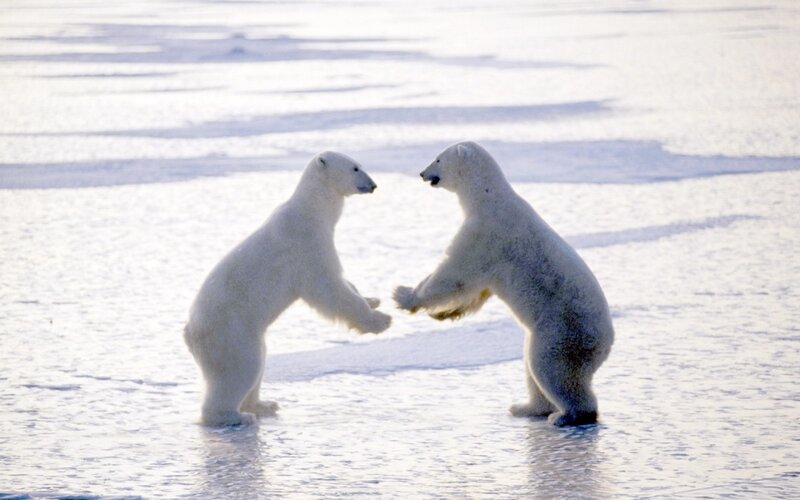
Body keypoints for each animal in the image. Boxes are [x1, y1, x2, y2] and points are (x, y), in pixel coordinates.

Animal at [184, 151, 392, 426]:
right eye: (355, 168)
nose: (373, 185)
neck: (310, 210)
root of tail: (189, 333)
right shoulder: (305, 244)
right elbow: (327, 287)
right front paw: (380, 320)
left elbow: (344, 284)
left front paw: (373, 299)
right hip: (230, 333)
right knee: (240, 369)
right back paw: (236, 416)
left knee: (259, 362)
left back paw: (264, 405)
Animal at [393, 141, 614, 426]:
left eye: (438, 158)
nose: (421, 173)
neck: (488, 196)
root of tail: (605, 344)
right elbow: (477, 289)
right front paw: (444, 314)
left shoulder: (485, 232)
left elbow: (455, 273)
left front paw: (404, 295)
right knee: (532, 368)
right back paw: (526, 407)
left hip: (562, 333)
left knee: (551, 370)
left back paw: (567, 415)